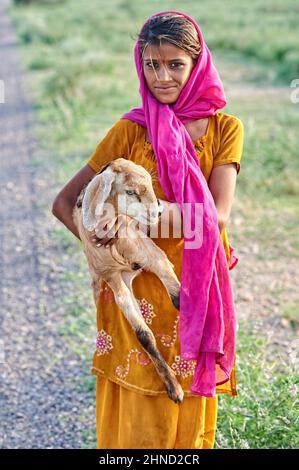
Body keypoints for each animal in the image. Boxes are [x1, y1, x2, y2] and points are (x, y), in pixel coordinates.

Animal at [73, 158, 185, 404]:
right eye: (130, 191)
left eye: (151, 185)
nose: (159, 210)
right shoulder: (115, 280)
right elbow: (144, 335)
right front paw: (174, 389)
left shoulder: (155, 257)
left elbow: (178, 298)